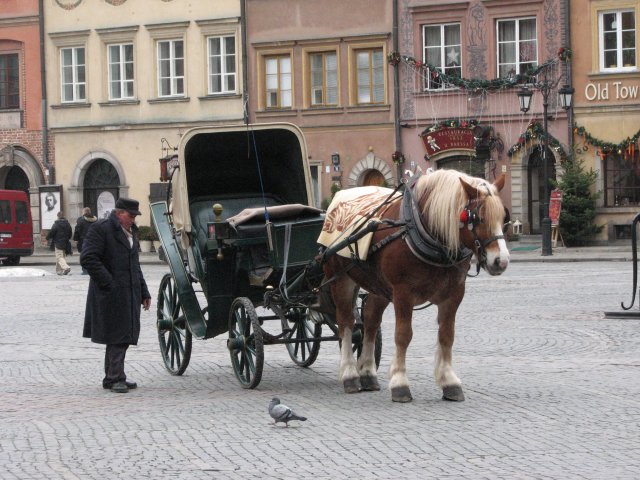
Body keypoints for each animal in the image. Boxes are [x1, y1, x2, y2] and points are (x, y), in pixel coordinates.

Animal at [320, 169, 510, 402]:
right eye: (478, 218)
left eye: (503, 217)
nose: (501, 261)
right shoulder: (403, 293)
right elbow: (403, 335)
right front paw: (400, 382)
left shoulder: (454, 294)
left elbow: (447, 335)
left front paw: (449, 380)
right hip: (341, 279)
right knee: (346, 322)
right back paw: (349, 374)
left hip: (378, 285)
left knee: (371, 321)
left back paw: (367, 372)